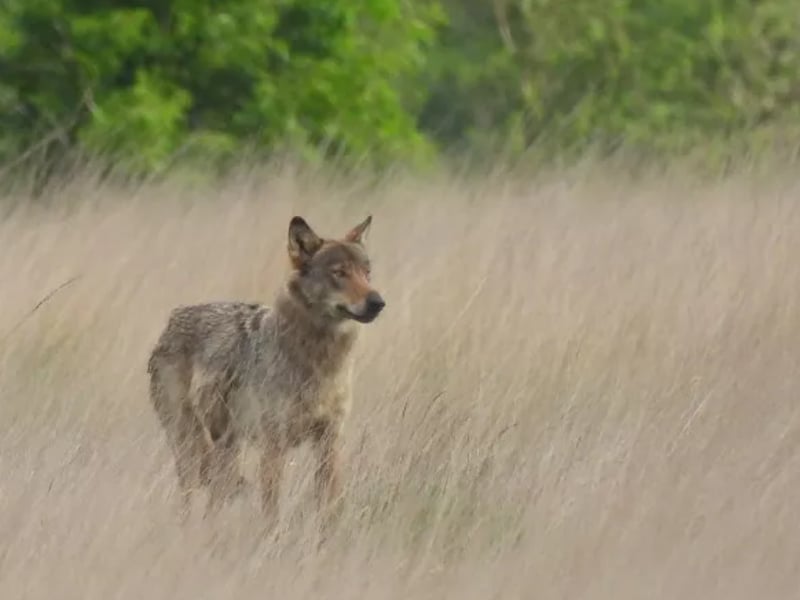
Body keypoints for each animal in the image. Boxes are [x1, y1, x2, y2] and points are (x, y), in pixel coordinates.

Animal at [147, 215, 385, 531]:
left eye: (366, 273)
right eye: (339, 273)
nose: (378, 302)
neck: (318, 362)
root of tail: (172, 320)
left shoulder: (329, 443)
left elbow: (330, 509)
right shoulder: (273, 447)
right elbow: (271, 513)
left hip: (226, 449)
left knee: (215, 498)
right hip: (191, 448)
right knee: (190, 499)